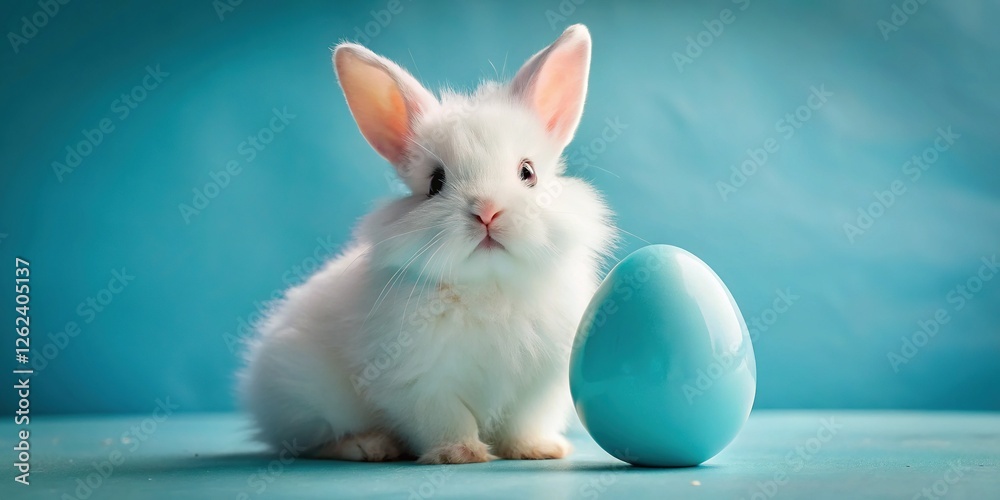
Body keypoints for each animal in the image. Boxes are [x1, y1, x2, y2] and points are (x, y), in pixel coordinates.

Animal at [239, 24, 615, 465]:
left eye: (528, 173)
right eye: (436, 183)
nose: (487, 211)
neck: (490, 285)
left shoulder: (539, 386)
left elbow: (523, 422)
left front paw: (538, 450)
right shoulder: (418, 382)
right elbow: (446, 418)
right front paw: (460, 454)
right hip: (308, 397)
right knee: (310, 441)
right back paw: (369, 445)